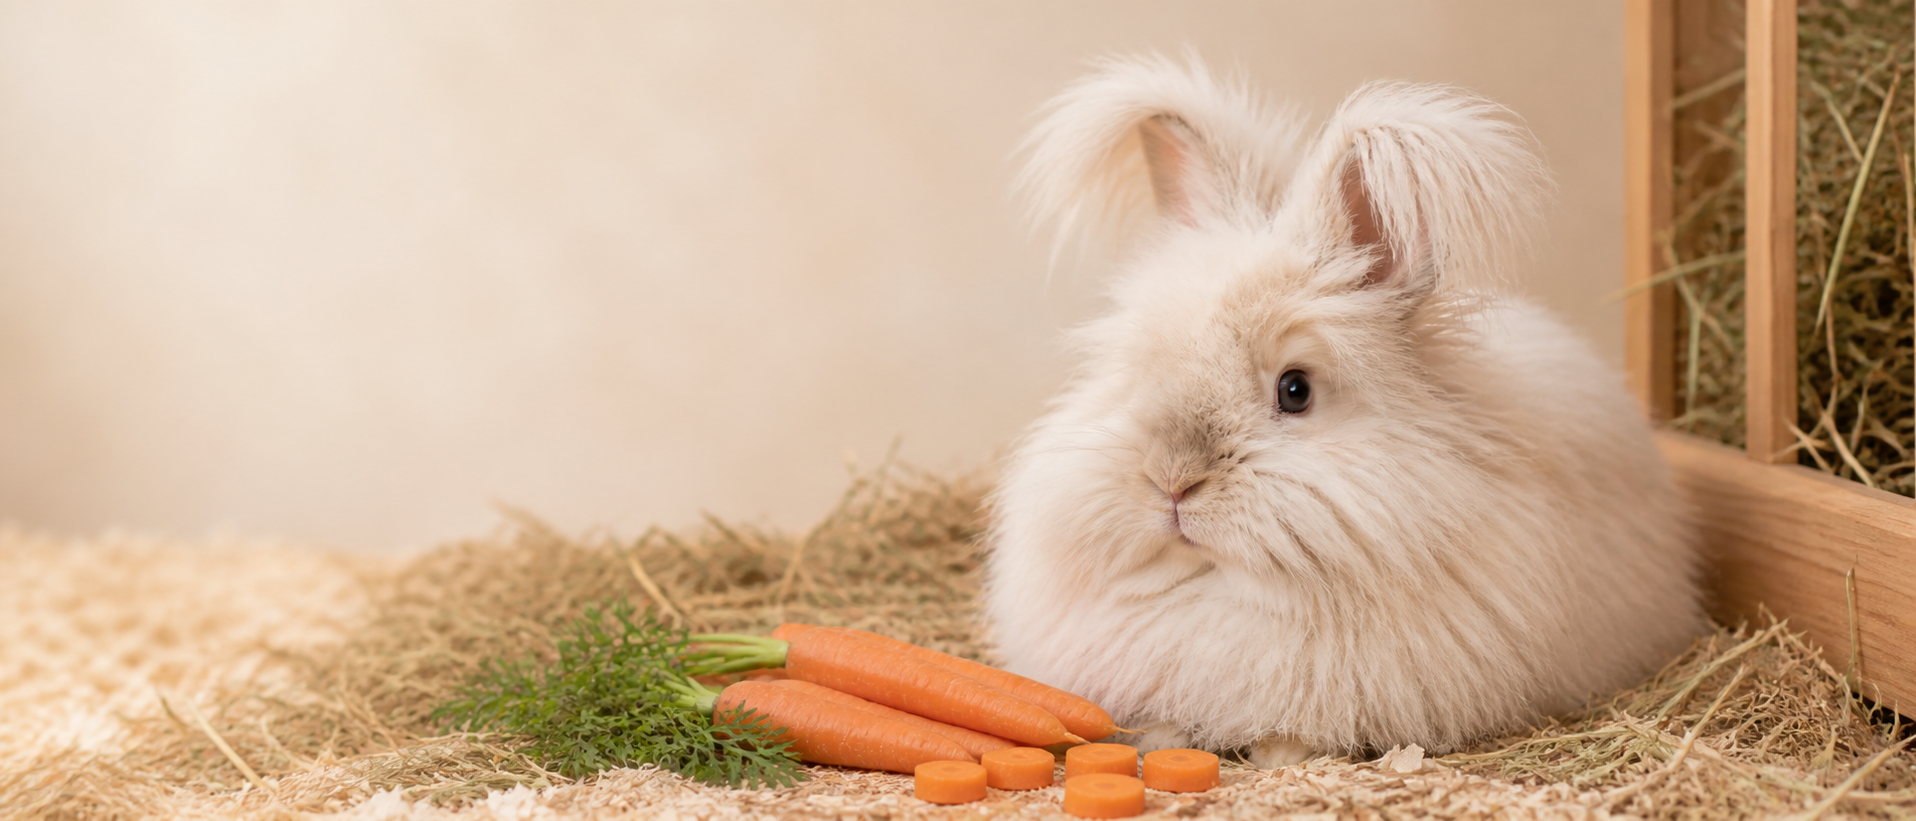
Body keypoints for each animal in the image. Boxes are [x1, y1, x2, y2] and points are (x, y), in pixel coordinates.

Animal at [982, 55, 1704, 768]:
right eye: (1137, 369)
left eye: (1295, 390)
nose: (1173, 480)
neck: (1223, 589)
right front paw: (1162, 739)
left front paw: (1278, 756)